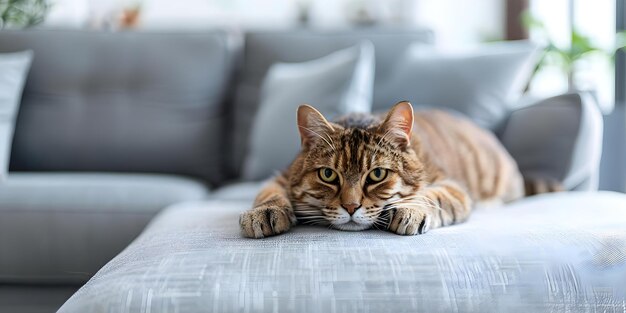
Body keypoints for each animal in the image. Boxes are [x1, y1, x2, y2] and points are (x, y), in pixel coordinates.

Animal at [240, 101, 544, 238]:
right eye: (328, 175)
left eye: (377, 174)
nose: (351, 207)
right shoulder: (280, 177)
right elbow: (268, 193)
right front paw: (263, 212)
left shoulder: (453, 187)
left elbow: (432, 196)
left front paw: (411, 210)